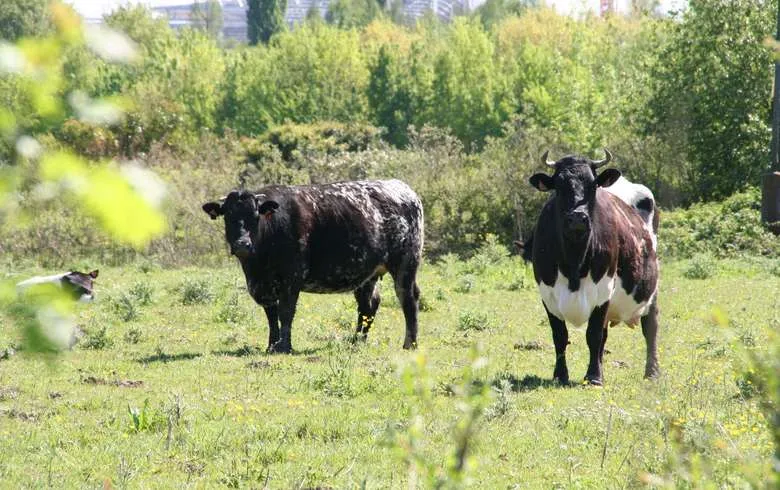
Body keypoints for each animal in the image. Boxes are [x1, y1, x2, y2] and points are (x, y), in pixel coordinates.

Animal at [201, 180, 420, 352]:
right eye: (228, 216)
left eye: (256, 216)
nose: (242, 244)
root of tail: (403, 188)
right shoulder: (262, 285)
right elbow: (271, 315)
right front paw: (271, 345)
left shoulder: (292, 277)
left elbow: (286, 312)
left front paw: (284, 347)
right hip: (368, 273)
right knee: (368, 305)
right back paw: (356, 342)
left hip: (406, 264)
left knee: (408, 298)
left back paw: (410, 344)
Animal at [528, 149, 660, 386]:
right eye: (558, 186)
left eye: (592, 185)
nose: (577, 218)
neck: (574, 262)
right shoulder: (547, 293)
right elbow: (560, 336)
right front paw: (560, 375)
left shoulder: (603, 290)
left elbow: (593, 334)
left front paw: (594, 377)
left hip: (652, 287)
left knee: (650, 326)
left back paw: (652, 372)